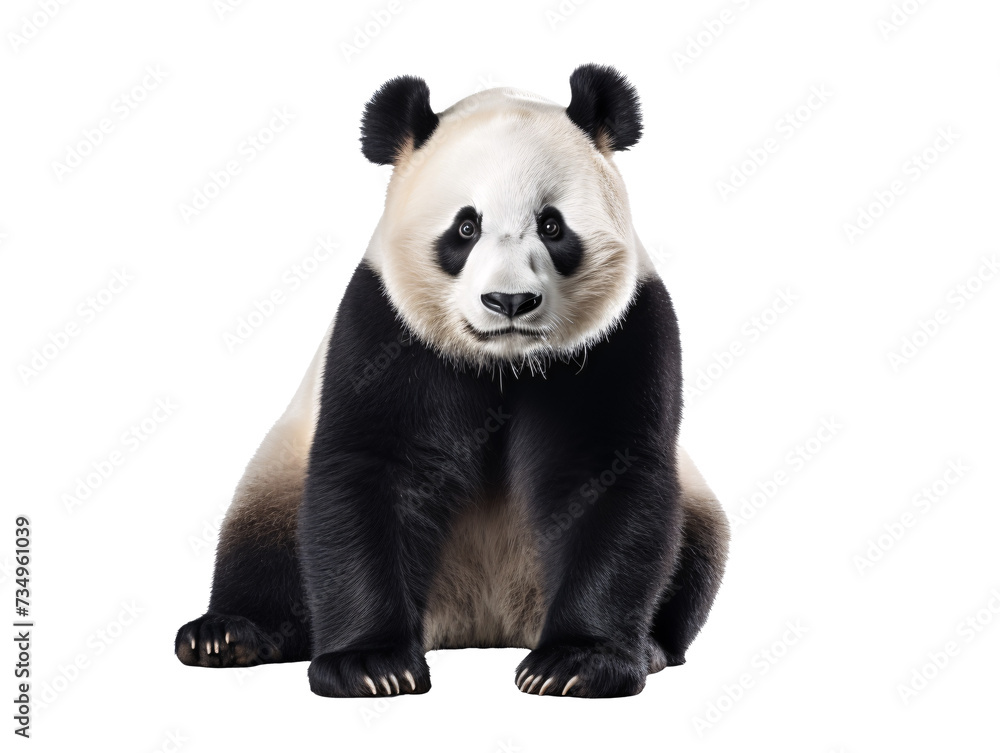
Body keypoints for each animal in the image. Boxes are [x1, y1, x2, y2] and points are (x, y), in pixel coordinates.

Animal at [176, 64, 730, 699]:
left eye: (552, 226)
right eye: (466, 227)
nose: (509, 301)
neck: (505, 363)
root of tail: (482, 619)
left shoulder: (623, 334)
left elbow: (608, 474)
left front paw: (576, 662)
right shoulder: (384, 327)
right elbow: (371, 466)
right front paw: (371, 665)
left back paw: (654, 647)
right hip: (279, 466)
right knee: (259, 546)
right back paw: (226, 635)